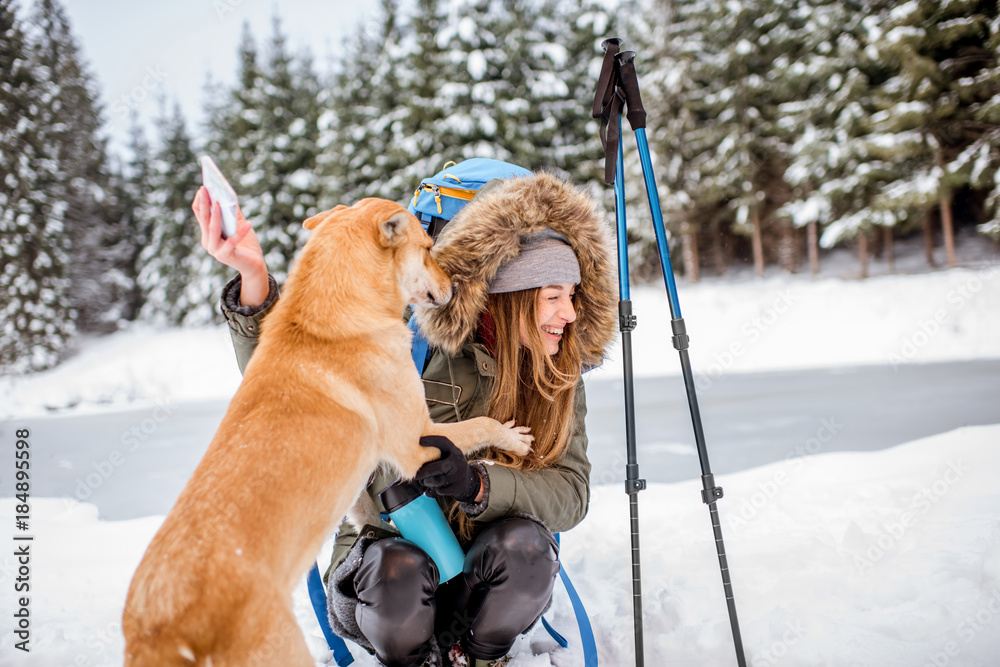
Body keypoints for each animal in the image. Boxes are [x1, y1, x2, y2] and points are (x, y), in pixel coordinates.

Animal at [123, 200, 532, 667]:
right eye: (429, 249)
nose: (455, 286)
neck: (332, 314)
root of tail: (154, 627)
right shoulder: (417, 442)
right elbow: (482, 426)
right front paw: (513, 438)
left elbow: (368, 510)